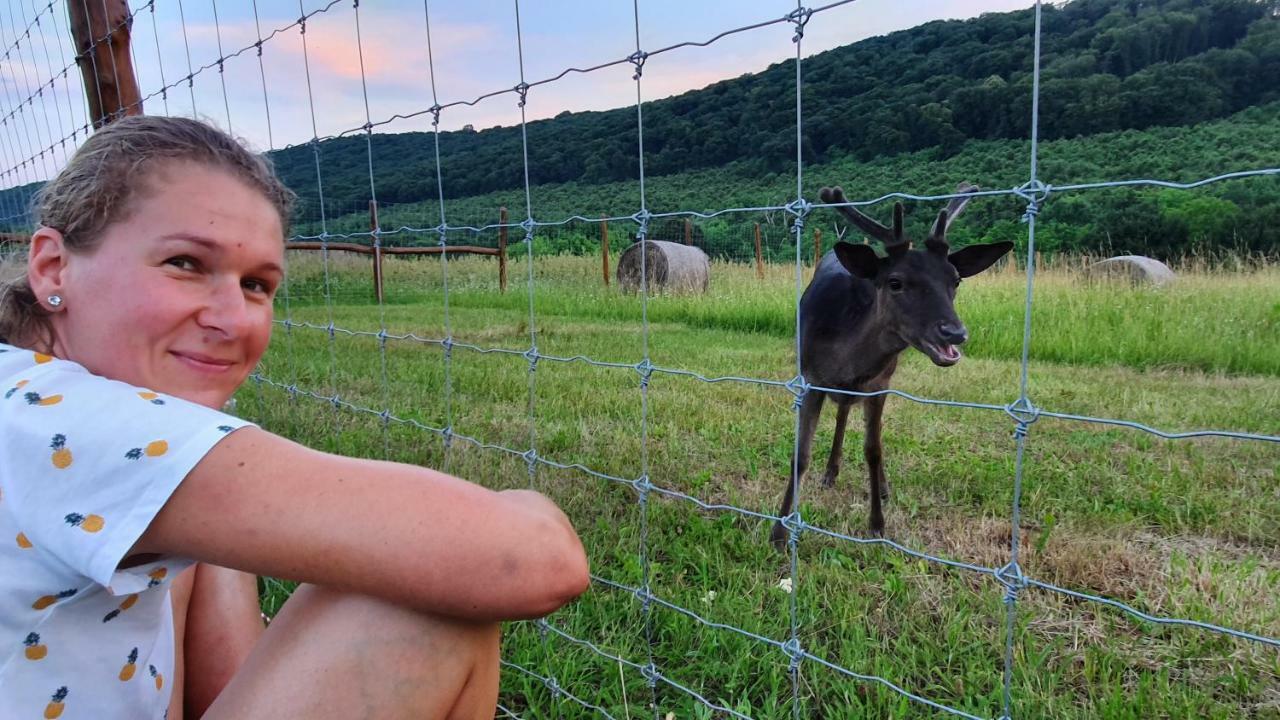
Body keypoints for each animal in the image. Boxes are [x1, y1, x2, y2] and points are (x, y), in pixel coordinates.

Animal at [768, 180, 1008, 543]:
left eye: (955, 281)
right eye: (895, 282)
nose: (954, 332)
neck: (844, 356)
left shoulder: (878, 384)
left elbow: (873, 450)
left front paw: (877, 524)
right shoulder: (810, 377)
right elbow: (801, 455)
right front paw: (779, 532)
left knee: (860, 425)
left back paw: (878, 485)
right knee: (842, 414)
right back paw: (831, 473)